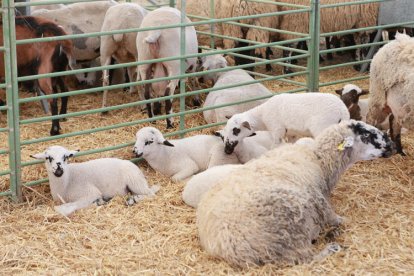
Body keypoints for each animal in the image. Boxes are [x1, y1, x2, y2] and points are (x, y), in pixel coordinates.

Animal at [30, 146, 159, 217]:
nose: (59, 168)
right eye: (48, 158)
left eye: (65, 157)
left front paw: (98, 202)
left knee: (151, 193)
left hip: (135, 181)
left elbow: (64, 208)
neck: (67, 182)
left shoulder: (91, 192)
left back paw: (133, 200)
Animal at [196, 119, 396, 266]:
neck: (319, 159)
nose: (392, 145)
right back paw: (332, 246)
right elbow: (333, 216)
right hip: (287, 230)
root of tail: (226, 247)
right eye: (366, 134)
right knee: (305, 258)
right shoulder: (318, 199)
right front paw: (342, 221)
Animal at [222, 91, 350, 154]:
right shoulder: (292, 133)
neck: (262, 115)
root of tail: (342, 110)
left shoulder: (277, 130)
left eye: (236, 130)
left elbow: (274, 146)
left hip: (322, 128)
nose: (226, 149)